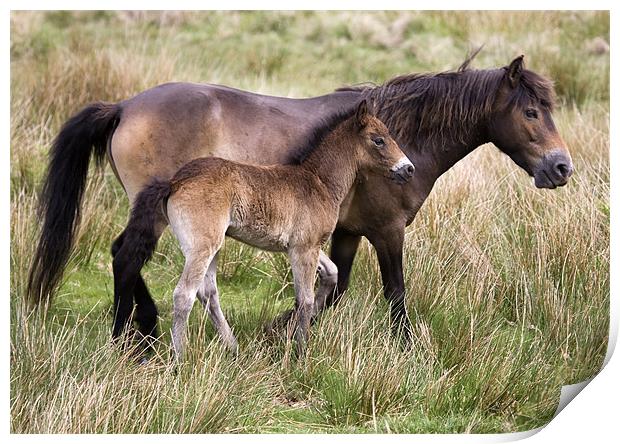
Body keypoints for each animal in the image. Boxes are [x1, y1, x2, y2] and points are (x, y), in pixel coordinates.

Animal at [27, 53, 572, 346]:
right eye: (530, 112)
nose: (561, 168)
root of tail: (124, 106)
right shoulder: (386, 231)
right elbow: (394, 293)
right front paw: (407, 350)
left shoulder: (346, 232)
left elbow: (336, 287)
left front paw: (279, 333)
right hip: (158, 214)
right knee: (127, 257)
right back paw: (133, 339)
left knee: (127, 257)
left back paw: (147, 330)